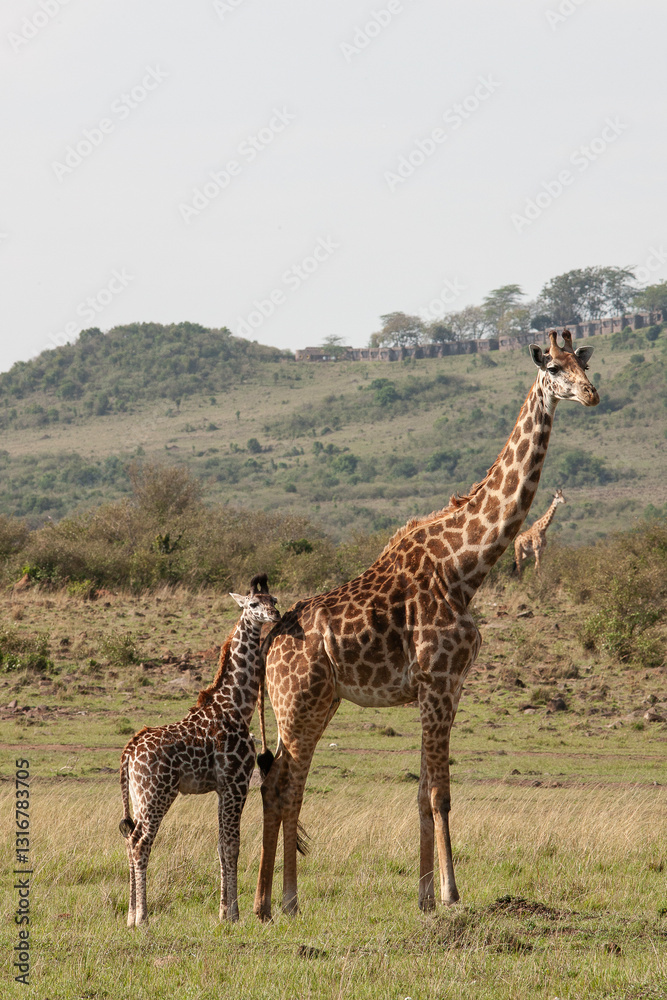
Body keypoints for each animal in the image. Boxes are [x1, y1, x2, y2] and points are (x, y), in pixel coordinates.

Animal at [119, 574, 280, 927]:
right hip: (158, 794)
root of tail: (130, 751)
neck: (238, 706)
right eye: (253, 604)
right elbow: (232, 845)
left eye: (274, 599)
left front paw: (223, 911)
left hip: (138, 796)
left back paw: (129, 915)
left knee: (130, 839)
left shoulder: (222, 787)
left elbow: (221, 845)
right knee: (140, 843)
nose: (274, 616)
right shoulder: (236, 783)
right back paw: (142, 918)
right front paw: (233, 914)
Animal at [254, 331, 598, 921]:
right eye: (553, 367)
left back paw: (277, 903)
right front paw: (452, 893)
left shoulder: (447, 688)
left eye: (584, 362)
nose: (591, 394)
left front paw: (423, 898)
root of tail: (271, 642)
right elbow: (441, 794)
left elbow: (421, 793)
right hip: (298, 705)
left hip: (315, 705)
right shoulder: (437, 683)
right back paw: (271, 903)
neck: (466, 566)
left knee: (283, 785)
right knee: (281, 786)